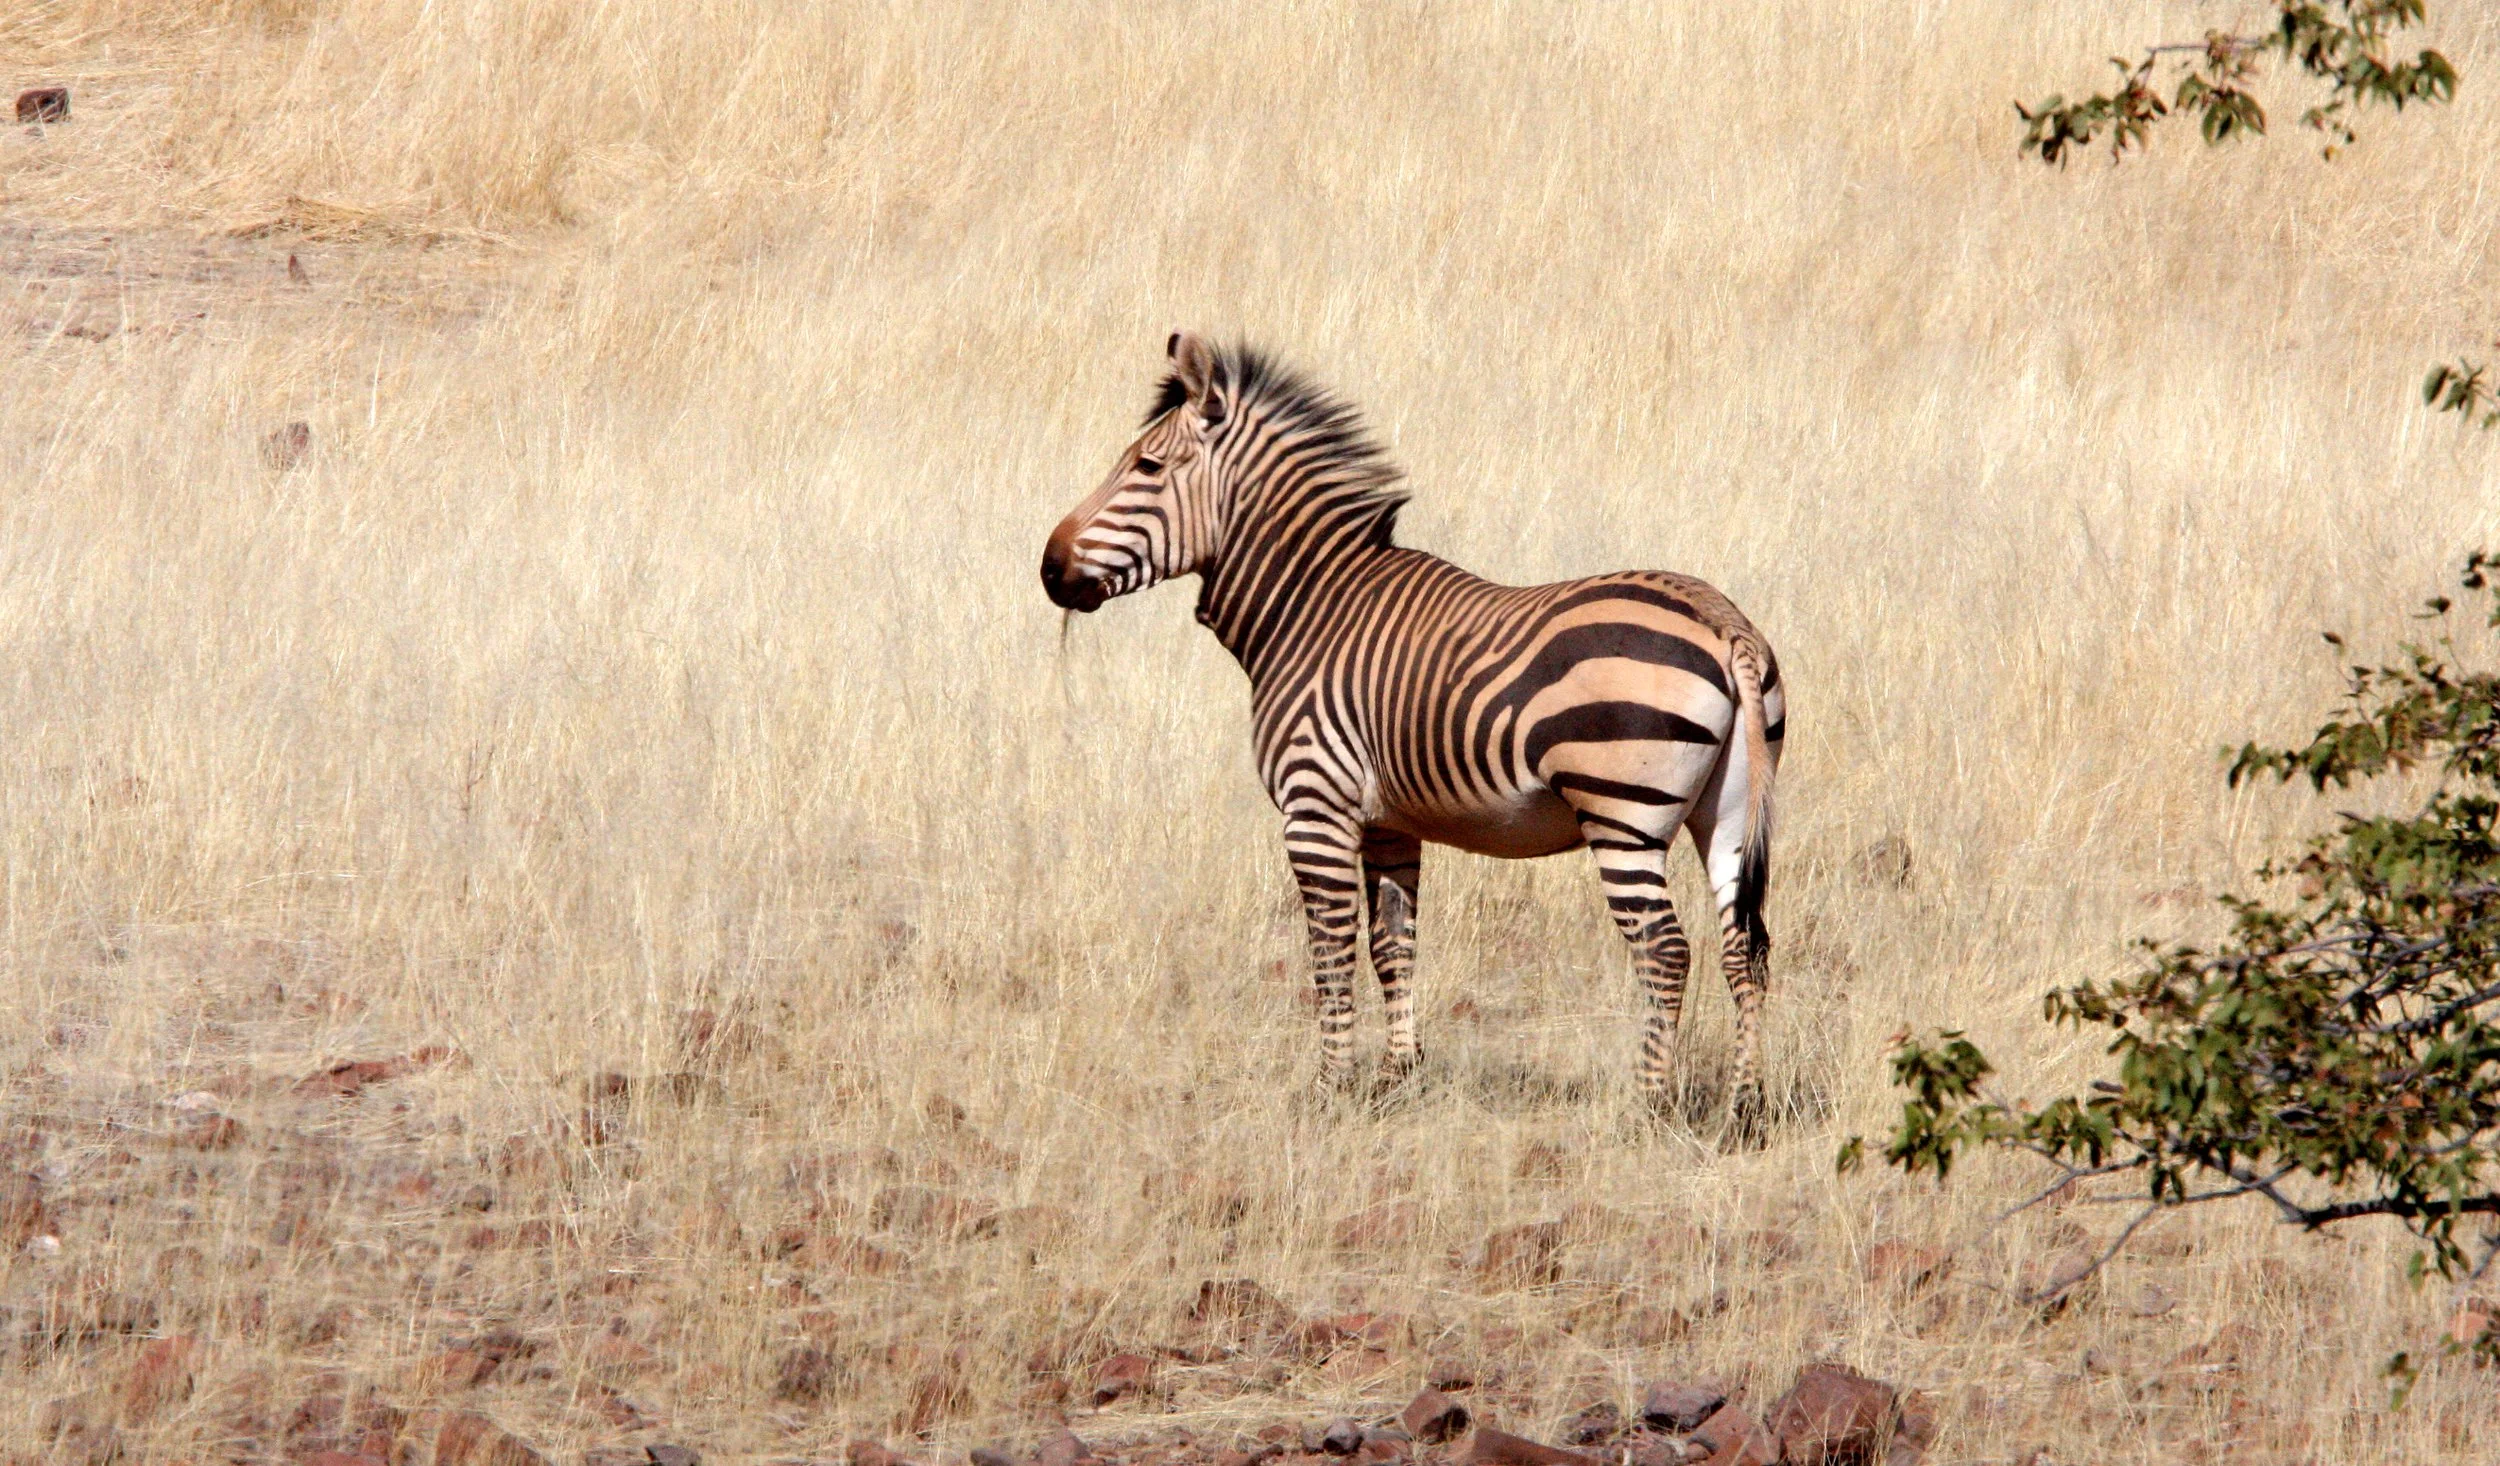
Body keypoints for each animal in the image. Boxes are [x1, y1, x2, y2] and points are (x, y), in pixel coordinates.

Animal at [1041, 333, 1786, 1125]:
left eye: (1147, 468)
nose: (1049, 568)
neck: (1306, 609)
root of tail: (1724, 623)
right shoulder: (1389, 824)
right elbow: (1392, 946)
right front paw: (1400, 1078)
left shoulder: (1315, 809)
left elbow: (1331, 950)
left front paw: (1330, 1088)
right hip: (1728, 810)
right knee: (1744, 948)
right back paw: (1745, 1103)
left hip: (1623, 813)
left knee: (1665, 951)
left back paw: (1648, 1106)